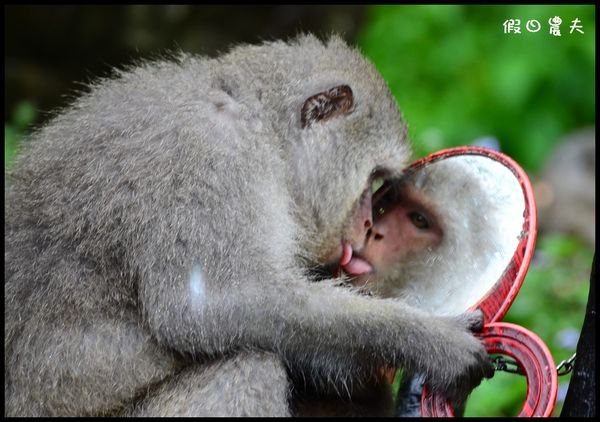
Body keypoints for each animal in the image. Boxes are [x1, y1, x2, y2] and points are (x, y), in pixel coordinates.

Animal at [4, 34, 492, 418]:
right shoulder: (208, 156)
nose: (369, 224)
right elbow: (214, 304)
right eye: (372, 179)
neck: (261, 128)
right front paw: (432, 341)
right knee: (245, 368)